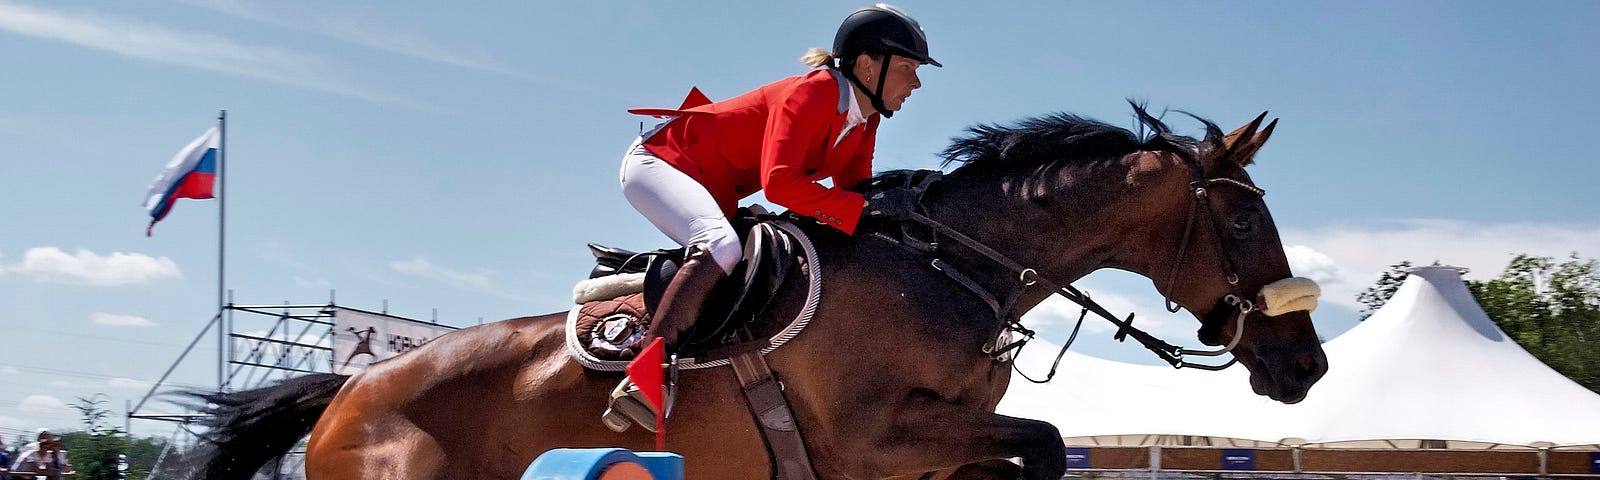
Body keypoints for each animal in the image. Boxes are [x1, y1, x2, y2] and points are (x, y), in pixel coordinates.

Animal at [178, 105, 1324, 480]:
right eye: (1240, 222)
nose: (1305, 365)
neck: (950, 269)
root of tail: (345, 389)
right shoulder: (873, 440)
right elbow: (1039, 446)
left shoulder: (927, 449)